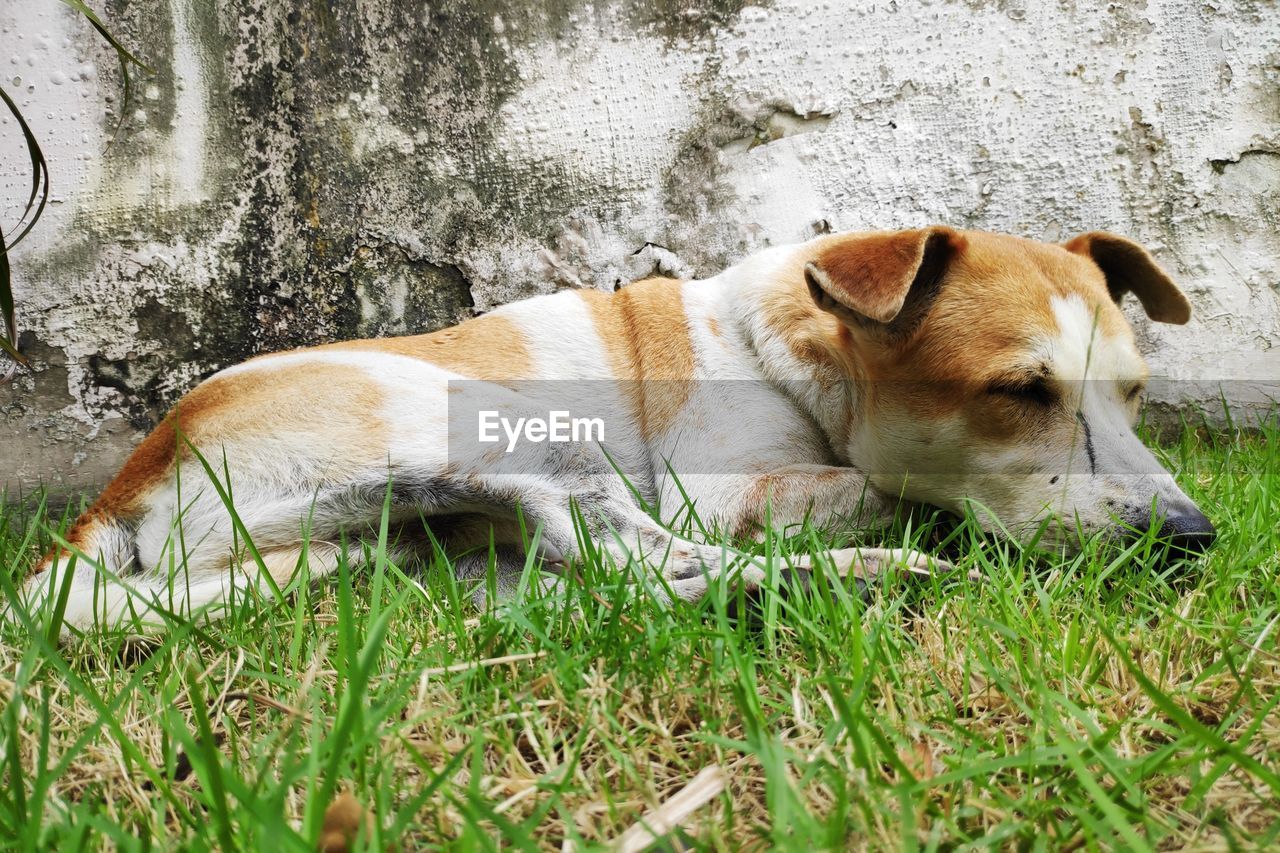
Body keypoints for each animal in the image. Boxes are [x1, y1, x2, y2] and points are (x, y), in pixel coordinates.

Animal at [22, 222, 1218, 627]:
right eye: (1018, 391)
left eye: (1133, 392)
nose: (1191, 538)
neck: (791, 358)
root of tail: (127, 484)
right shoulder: (727, 493)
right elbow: (893, 491)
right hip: (515, 431)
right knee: (630, 556)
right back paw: (856, 575)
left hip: (402, 548)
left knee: (594, 583)